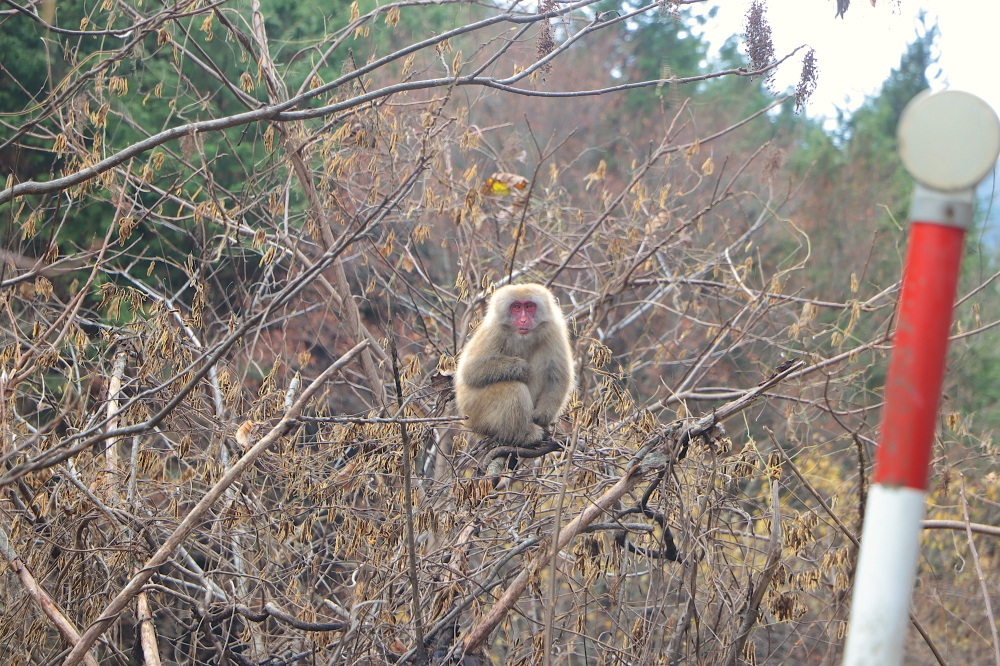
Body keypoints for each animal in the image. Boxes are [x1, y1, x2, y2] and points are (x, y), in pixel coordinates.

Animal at [458, 282, 576, 444]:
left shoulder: (553, 331)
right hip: (477, 413)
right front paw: (521, 368)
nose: (523, 320)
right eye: (517, 307)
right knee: (513, 388)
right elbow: (471, 370)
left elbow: (557, 376)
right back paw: (525, 434)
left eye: (529, 306)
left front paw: (543, 416)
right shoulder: (494, 331)